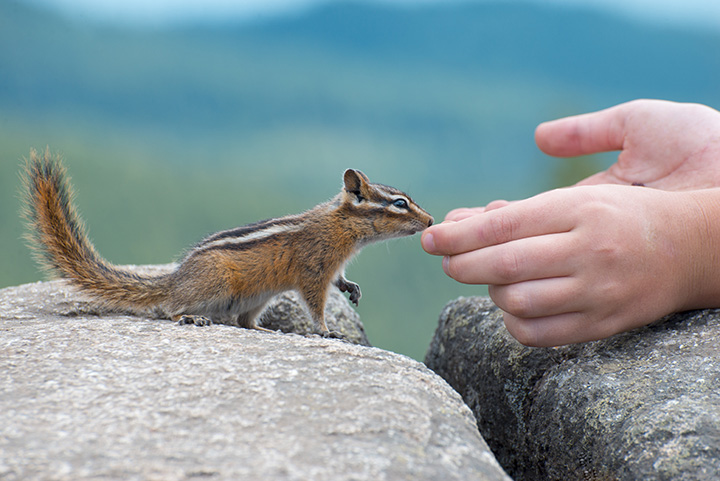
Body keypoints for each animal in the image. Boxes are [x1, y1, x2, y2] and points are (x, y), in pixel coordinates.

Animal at [21, 149, 434, 337]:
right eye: (400, 203)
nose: (431, 221)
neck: (340, 226)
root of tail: (176, 278)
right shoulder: (313, 270)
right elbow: (315, 302)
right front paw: (325, 330)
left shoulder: (331, 266)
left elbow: (339, 281)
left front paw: (351, 288)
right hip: (214, 283)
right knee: (169, 308)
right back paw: (190, 315)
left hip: (257, 298)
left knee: (243, 321)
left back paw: (265, 329)